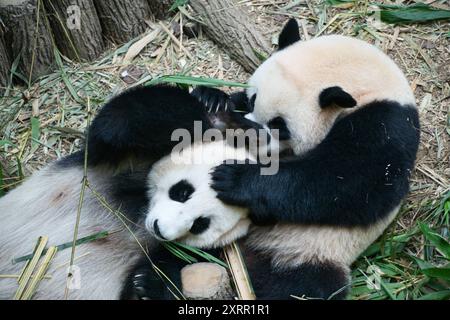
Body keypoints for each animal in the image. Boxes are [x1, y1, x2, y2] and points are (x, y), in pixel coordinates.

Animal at [0, 84, 253, 298]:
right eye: (181, 192)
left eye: (200, 224)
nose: (159, 229)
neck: (139, 207)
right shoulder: (119, 161)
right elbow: (120, 119)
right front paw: (211, 101)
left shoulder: (178, 250)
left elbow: (177, 260)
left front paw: (146, 286)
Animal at [185, 18, 418, 298]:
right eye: (252, 101)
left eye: (279, 125)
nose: (249, 132)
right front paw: (211, 99)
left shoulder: (386, 123)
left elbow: (346, 183)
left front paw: (234, 178)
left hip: (308, 252)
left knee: (300, 286)